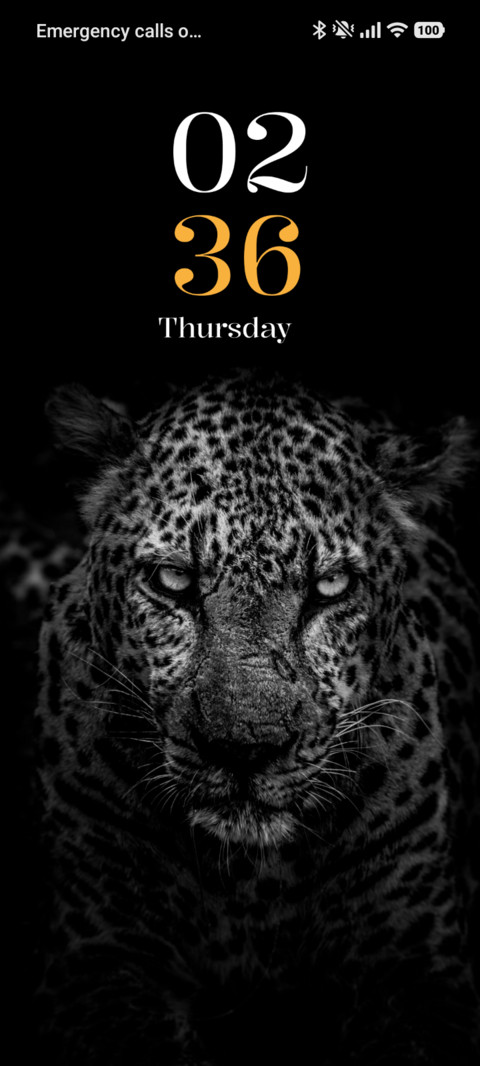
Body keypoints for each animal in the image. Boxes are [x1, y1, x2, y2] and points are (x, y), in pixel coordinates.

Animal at [34, 372, 480, 1065]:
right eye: (173, 580)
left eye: (330, 588)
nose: (244, 748)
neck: (251, 880)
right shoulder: (99, 961)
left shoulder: (415, 967)